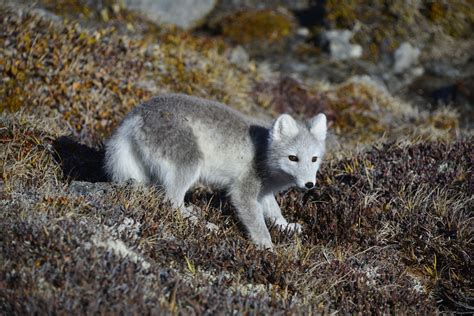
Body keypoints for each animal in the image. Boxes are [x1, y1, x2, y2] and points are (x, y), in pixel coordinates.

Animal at [104, 94, 326, 249]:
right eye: (293, 158)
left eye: (314, 159)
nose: (309, 185)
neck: (264, 152)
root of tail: (135, 115)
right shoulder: (243, 190)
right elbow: (257, 221)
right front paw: (268, 247)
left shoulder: (264, 192)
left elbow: (274, 211)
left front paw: (286, 226)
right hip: (190, 162)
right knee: (171, 201)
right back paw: (204, 224)